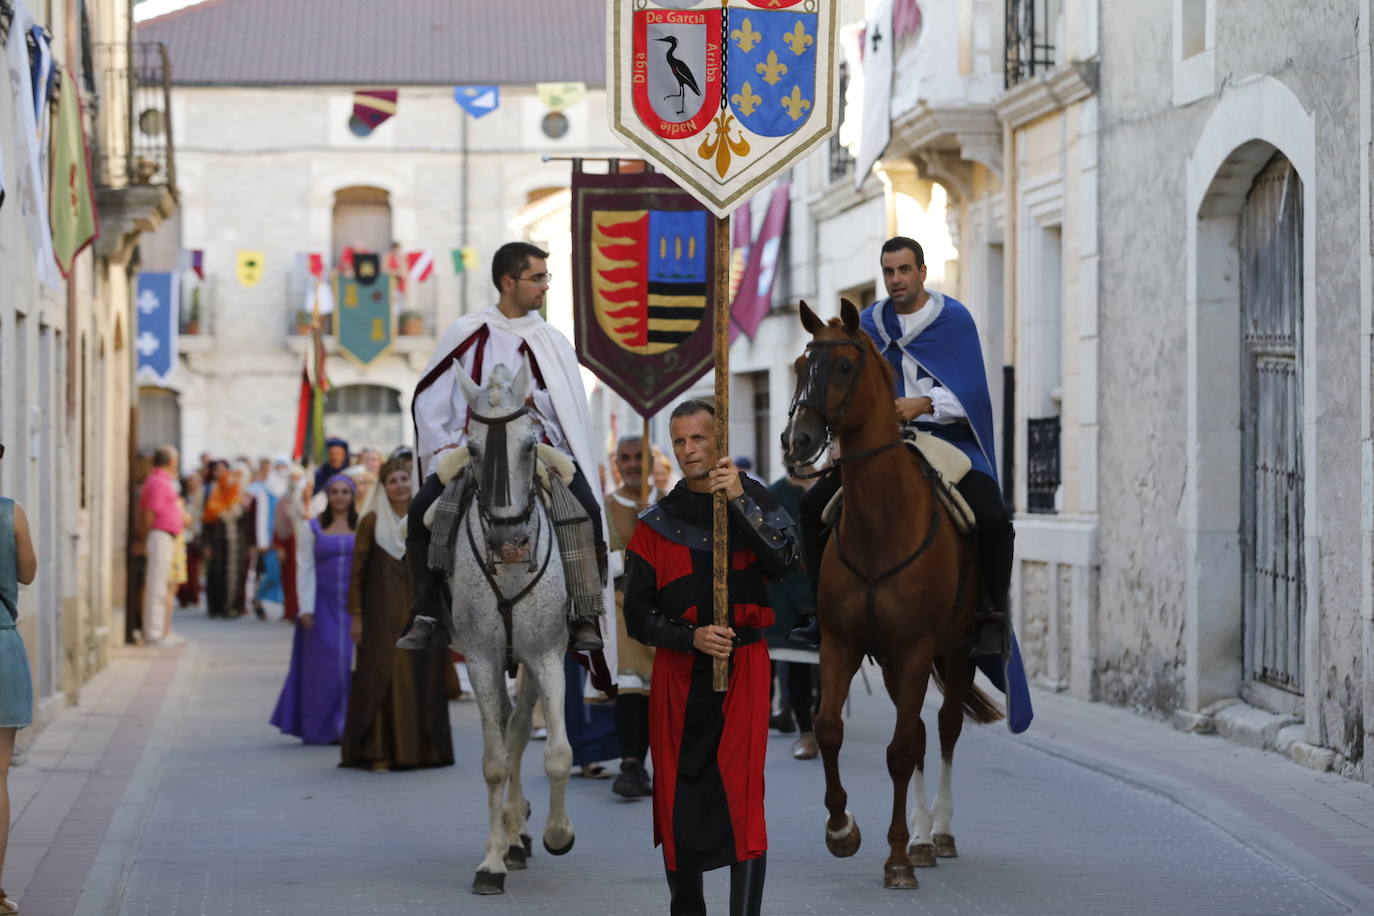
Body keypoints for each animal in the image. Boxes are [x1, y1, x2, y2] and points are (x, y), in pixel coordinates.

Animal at [436, 362, 571, 895]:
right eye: (473, 450)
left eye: (531, 445)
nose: (511, 543)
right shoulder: (480, 660)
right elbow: (494, 762)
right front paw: (491, 862)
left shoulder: (548, 656)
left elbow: (556, 753)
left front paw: (557, 833)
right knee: (509, 731)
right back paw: (512, 838)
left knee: (518, 728)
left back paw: (523, 833)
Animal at [785, 299, 1000, 889]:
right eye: (800, 366)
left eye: (843, 366)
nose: (798, 442)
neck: (883, 521)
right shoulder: (843, 644)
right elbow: (828, 728)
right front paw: (842, 830)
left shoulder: (916, 648)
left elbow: (902, 750)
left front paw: (899, 858)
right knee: (925, 731)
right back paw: (925, 837)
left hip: (957, 651)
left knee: (944, 729)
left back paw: (938, 834)